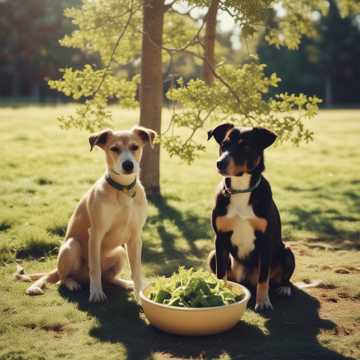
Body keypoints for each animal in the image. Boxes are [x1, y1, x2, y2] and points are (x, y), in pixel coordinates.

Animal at [15, 125, 156, 302]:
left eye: (134, 147)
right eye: (114, 149)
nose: (128, 165)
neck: (123, 190)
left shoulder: (135, 237)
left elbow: (136, 270)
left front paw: (139, 295)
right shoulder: (96, 233)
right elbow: (94, 266)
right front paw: (96, 293)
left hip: (120, 251)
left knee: (108, 277)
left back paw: (124, 283)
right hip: (71, 246)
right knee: (61, 277)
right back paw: (68, 284)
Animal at [208, 124, 296, 310]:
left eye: (246, 147)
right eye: (224, 144)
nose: (220, 163)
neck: (241, 189)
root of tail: (245, 279)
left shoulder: (265, 240)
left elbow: (263, 279)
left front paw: (263, 302)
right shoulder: (220, 238)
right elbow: (221, 273)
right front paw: (220, 292)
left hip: (287, 252)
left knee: (279, 279)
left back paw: (284, 288)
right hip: (213, 255)